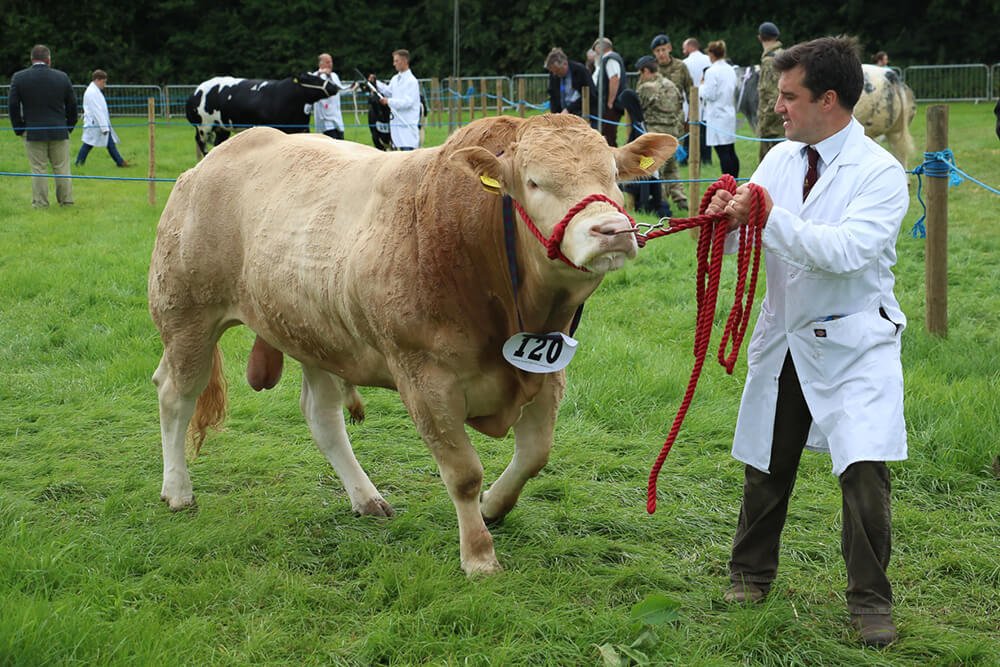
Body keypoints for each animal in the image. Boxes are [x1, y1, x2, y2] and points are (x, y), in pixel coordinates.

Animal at [148, 114, 677, 575]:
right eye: (533, 182)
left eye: (614, 175)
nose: (612, 231)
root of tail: (214, 158)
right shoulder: (425, 379)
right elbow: (463, 473)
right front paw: (479, 556)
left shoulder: (547, 372)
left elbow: (534, 456)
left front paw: (494, 507)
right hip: (187, 314)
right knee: (175, 393)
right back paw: (178, 490)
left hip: (312, 328)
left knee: (322, 416)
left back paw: (365, 497)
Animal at [184, 73, 338, 157]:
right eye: (313, 79)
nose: (334, 87)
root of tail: (195, 91)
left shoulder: (302, 128)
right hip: (203, 126)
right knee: (201, 142)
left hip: (222, 128)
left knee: (218, 143)